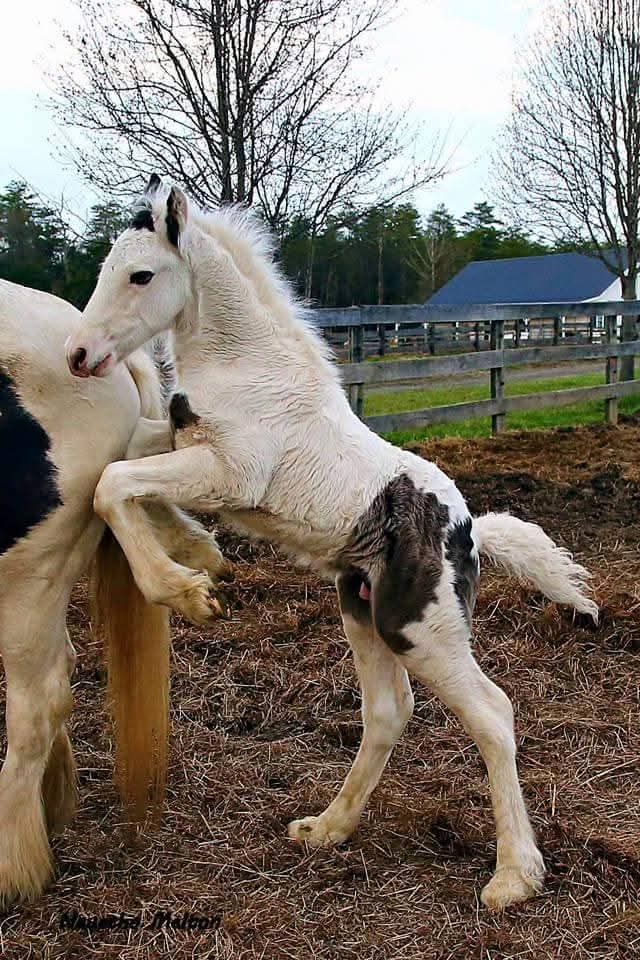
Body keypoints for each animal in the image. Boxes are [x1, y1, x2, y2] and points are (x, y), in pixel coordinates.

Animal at [65, 177, 599, 910]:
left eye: (141, 275)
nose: (79, 355)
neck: (248, 368)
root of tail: (468, 529)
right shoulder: (183, 446)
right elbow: (120, 464)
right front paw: (199, 554)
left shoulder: (231, 473)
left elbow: (111, 482)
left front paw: (189, 592)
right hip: (360, 607)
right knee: (388, 712)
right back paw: (327, 828)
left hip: (418, 626)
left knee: (493, 714)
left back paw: (514, 876)